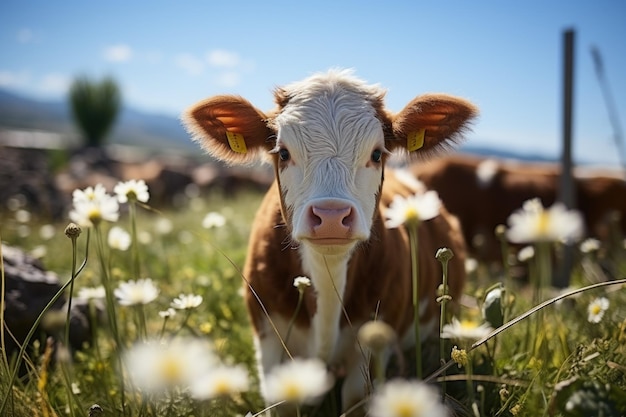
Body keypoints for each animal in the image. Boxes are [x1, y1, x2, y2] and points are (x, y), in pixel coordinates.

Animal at [183, 70, 476, 412]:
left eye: (377, 154)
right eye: (284, 153)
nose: (332, 216)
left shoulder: (373, 342)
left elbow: (355, 398)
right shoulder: (267, 334)